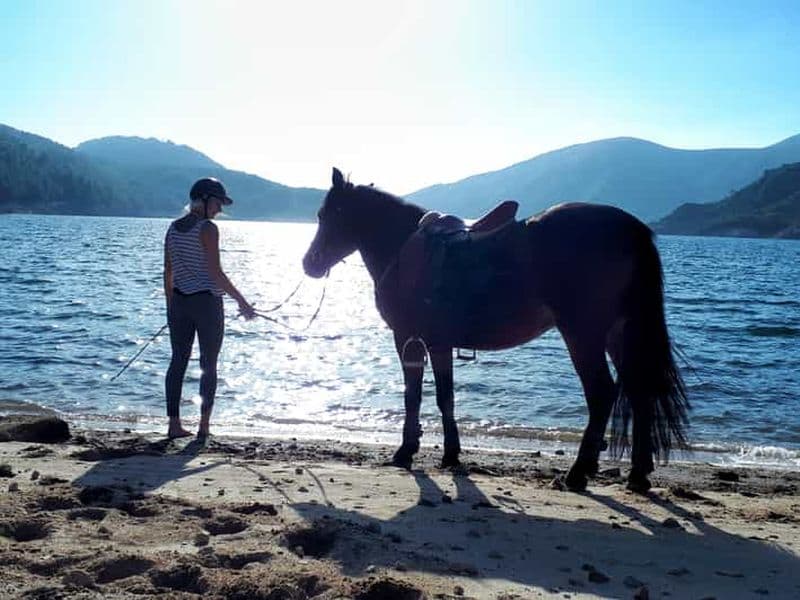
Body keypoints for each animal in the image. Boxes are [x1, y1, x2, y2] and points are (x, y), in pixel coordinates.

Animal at [303, 167, 689, 493]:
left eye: (327, 214)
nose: (310, 263)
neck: (401, 247)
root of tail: (630, 229)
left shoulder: (408, 339)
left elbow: (415, 395)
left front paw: (406, 450)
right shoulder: (438, 343)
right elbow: (445, 396)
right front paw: (450, 453)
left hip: (584, 333)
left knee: (602, 394)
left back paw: (579, 472)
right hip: (619, 334)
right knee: (639, 393)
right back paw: (637, 474)